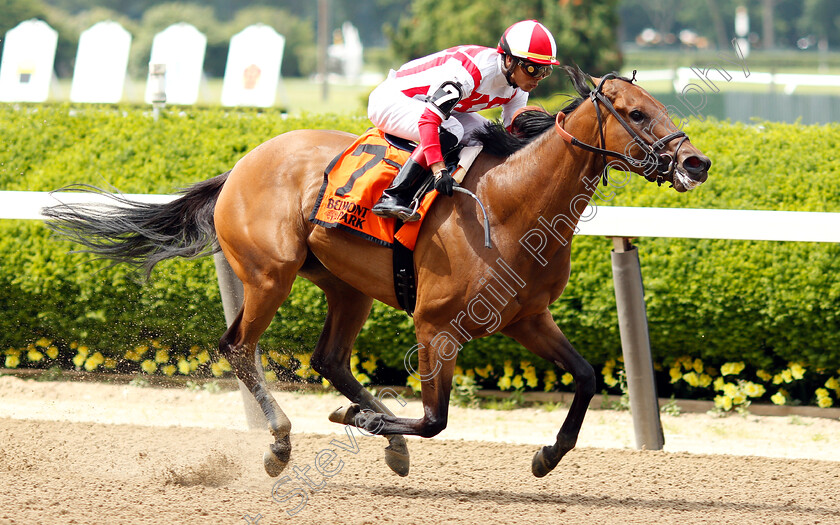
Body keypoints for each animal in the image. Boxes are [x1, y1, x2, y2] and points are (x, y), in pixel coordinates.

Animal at [41, 67, 708, 482]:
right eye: (634, 113)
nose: (695, 162)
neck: (508, 205)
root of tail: (240, 166)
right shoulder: (436, 326)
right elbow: (436, 419)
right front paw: (359, 420)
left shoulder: (527, 318)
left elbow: (588, 377)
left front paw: (547, 454)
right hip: (269, 275)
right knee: (237, 347)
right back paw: (282, 441)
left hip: (346, 286)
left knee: (330, 359)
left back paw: (380, 438)